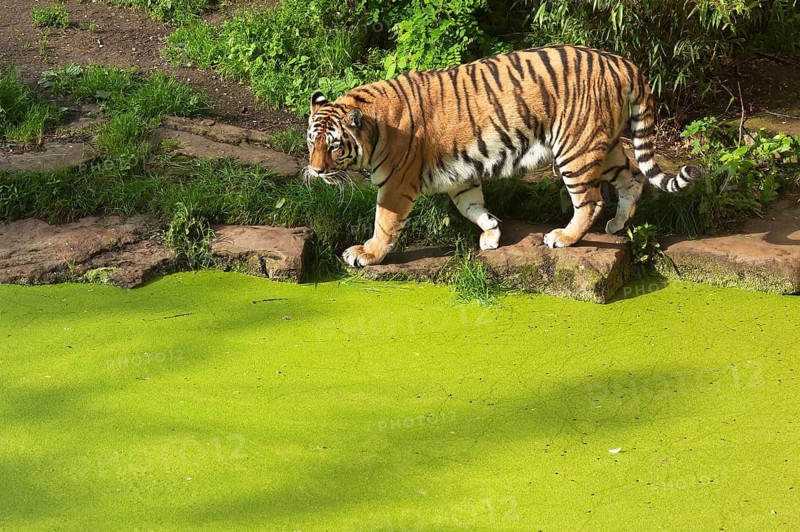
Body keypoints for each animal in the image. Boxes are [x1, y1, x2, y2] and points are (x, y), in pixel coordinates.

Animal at [305, 45, 701, 267]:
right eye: (312, 143)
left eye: (334, 146)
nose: (315, 171)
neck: (375, 127)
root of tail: (624, 63)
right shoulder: (460, 175)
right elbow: (472, 206)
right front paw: (492, 233)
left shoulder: (395, 185)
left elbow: (384, 223)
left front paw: (367, 254)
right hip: (604, 147)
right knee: (633, 179)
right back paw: (618, 225)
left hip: (575, 148)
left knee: (589, 201)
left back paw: (564, 237)